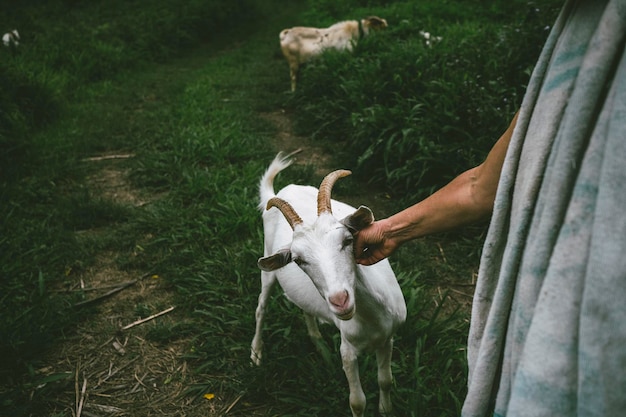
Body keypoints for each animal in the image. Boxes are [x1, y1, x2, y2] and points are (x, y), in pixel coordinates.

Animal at [250, 153, 404, 416]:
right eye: (298, 260)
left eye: (348, 240)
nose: (340, 301)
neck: (372, 318)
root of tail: (285, 189)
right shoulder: (348, 350)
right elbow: (357, 401)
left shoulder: (388, 339)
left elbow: (385, 381)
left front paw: (386, 409)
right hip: (268, 266)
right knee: (261, 307)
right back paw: (257, 352)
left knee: (305, 309)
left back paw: (321, 348)